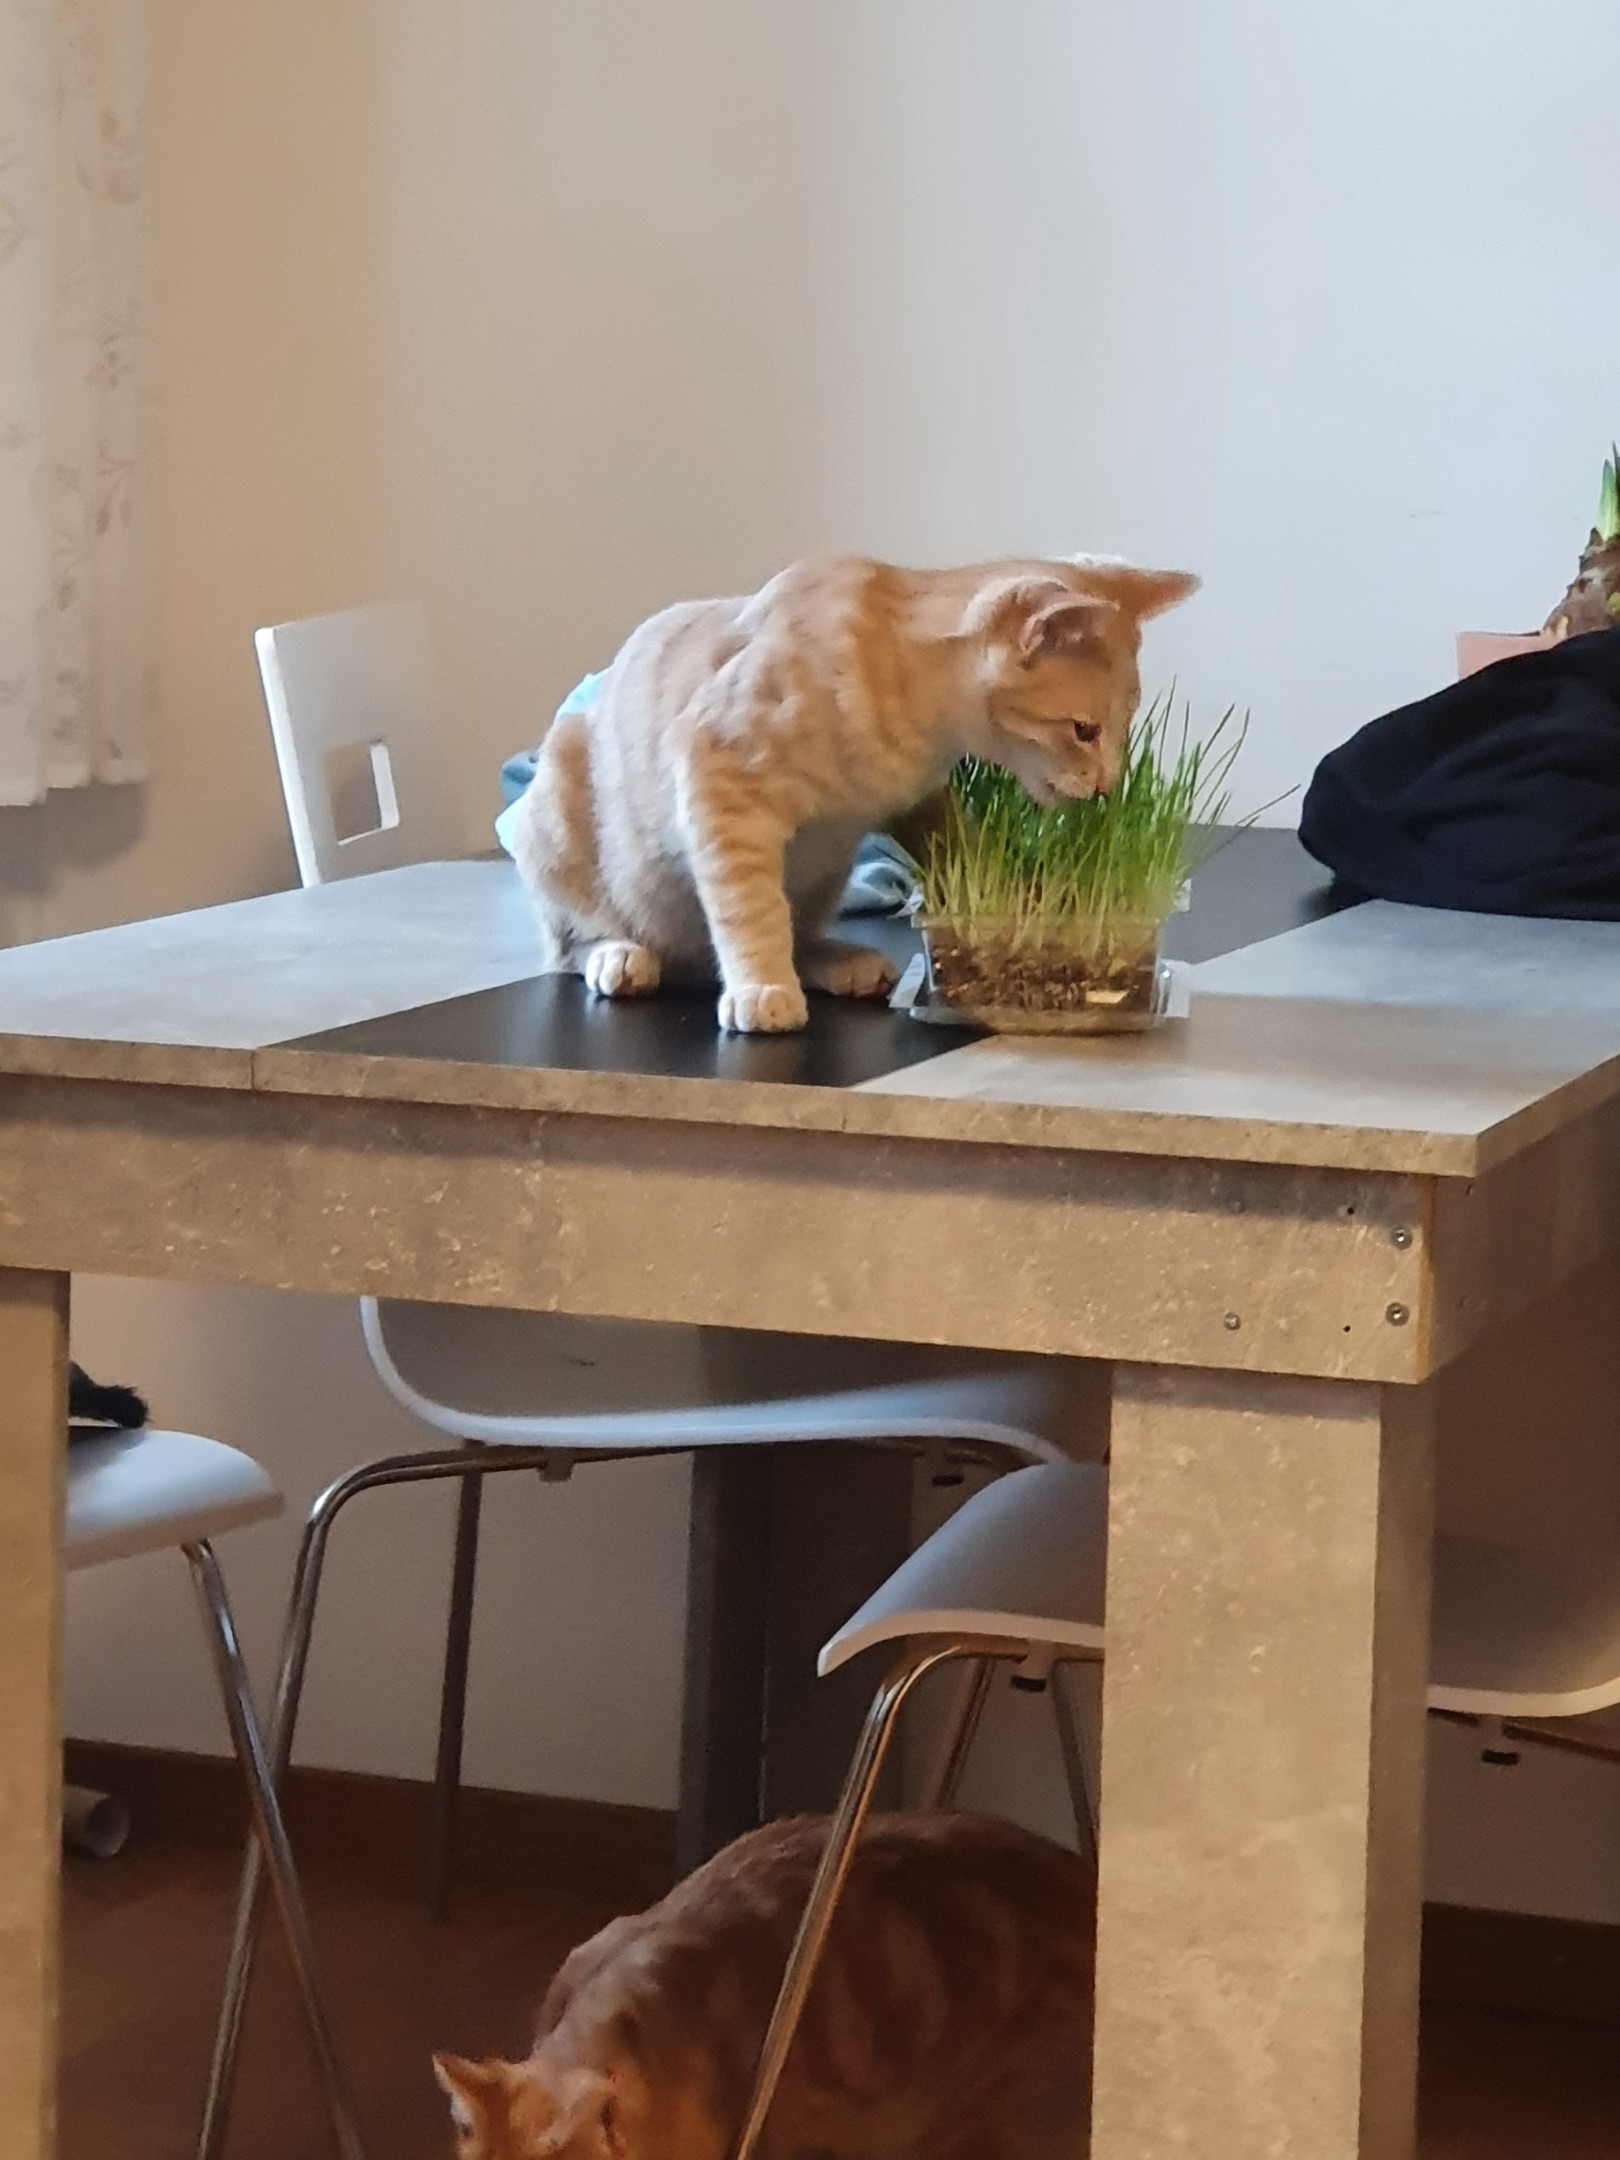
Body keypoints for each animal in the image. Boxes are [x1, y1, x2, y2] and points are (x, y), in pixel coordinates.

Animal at [506, 554, 1197, 1033]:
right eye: (1084, 731)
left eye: (1123, 730)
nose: (1108, 786)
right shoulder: (716, 778)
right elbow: (747, 908)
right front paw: (761, 988)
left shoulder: (922, 802)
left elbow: (968, 855)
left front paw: (1027, 904)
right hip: (558, 801)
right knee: (568, 943)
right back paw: (621, 957)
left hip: (823, 872)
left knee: (799, 928)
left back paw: (835, 960)